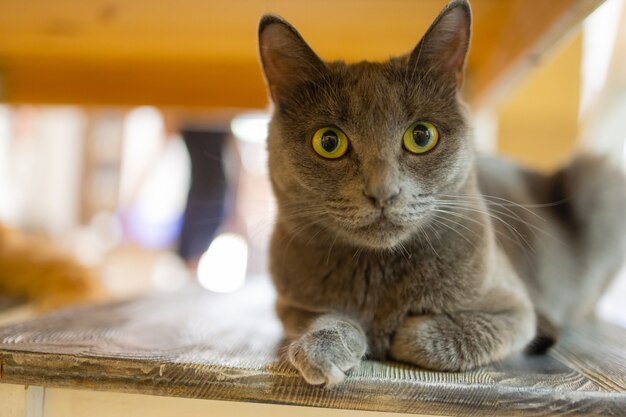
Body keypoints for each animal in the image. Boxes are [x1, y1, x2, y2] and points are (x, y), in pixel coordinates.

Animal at [256, 0, 624, 386]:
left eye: (421, 136)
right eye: (328, 142)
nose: (383, 192)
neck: (380, 271)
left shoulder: (515, 309)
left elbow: (434, 335)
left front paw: (395, 335)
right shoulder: (290, 303)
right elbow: (323, 317)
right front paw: (324, 347)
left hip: (601, 181)